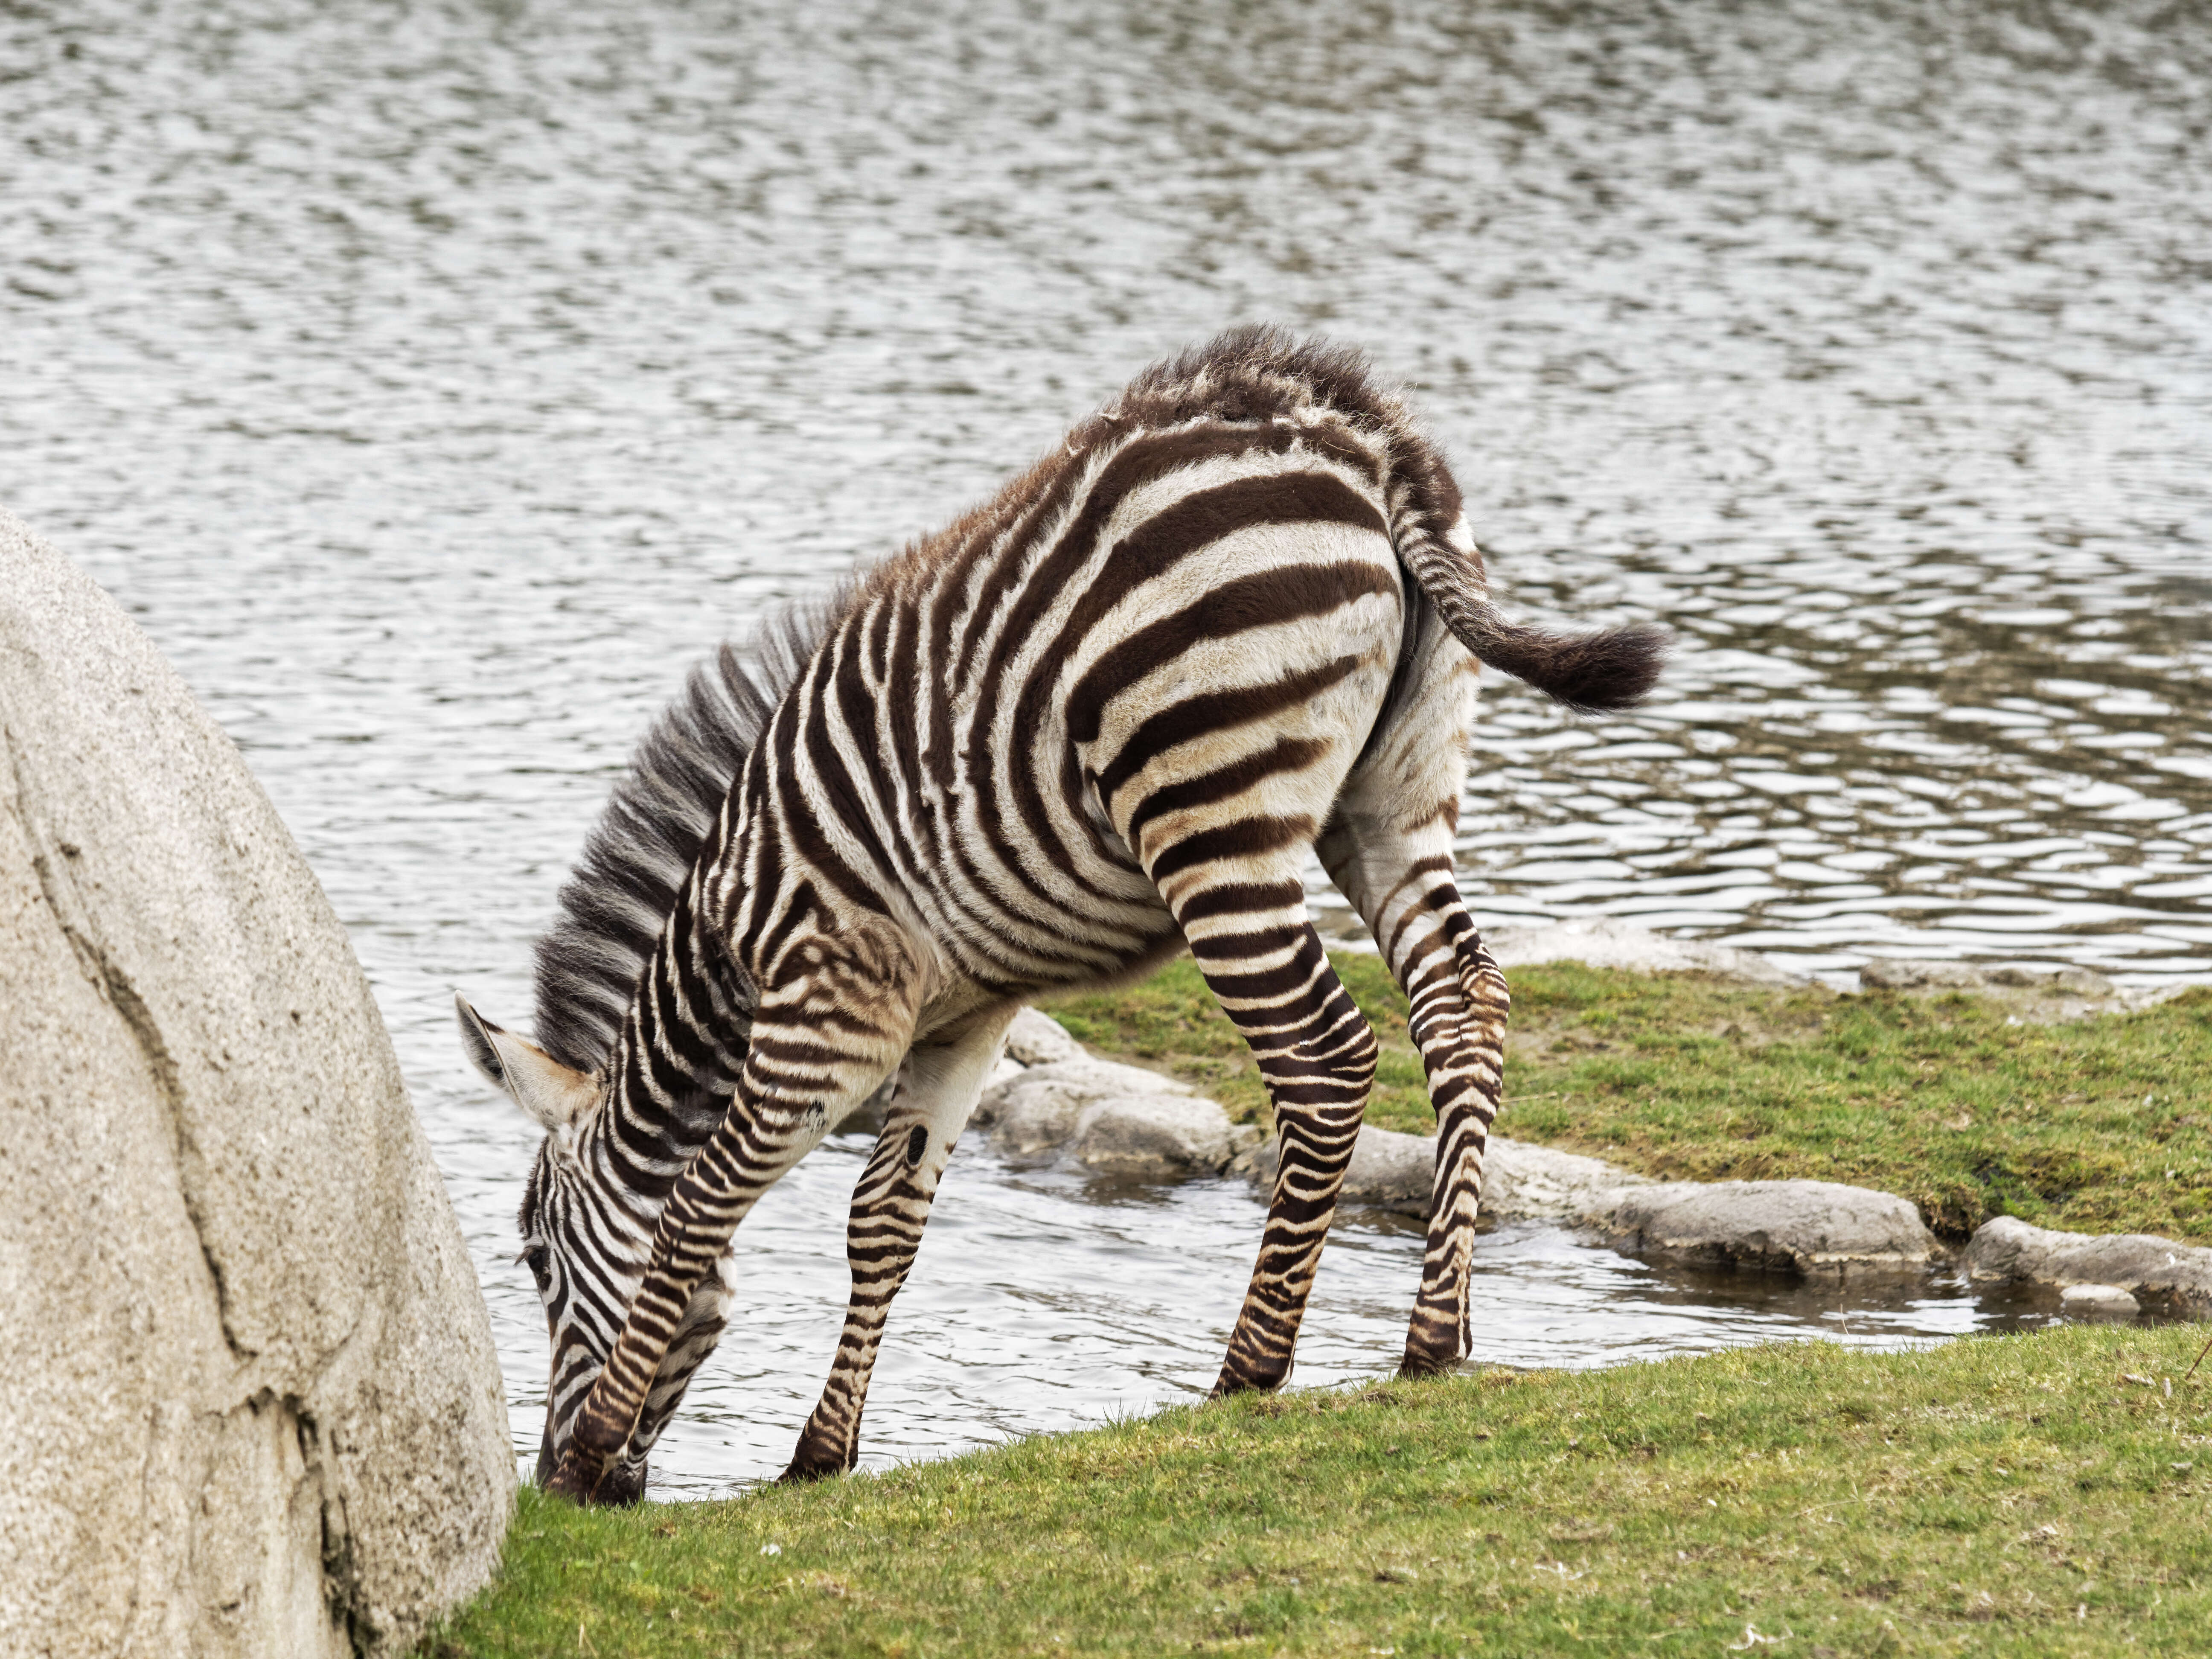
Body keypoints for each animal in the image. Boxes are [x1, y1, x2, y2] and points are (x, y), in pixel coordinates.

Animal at [453, 325, 1663, 1504]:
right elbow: (883, 1221)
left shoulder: (832, 1005)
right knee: (1464, 1006)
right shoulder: (966, 1009)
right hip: (1393, 800)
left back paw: (1248, 1371)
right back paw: (1432, 1340)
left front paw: (597, 1443)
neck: (727, 944)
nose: (555, 1481)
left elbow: (701, 1202)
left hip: (1210, 811)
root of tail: (1359, 435)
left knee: (1324, 1060)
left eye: (535, 1262)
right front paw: (819, 1457)